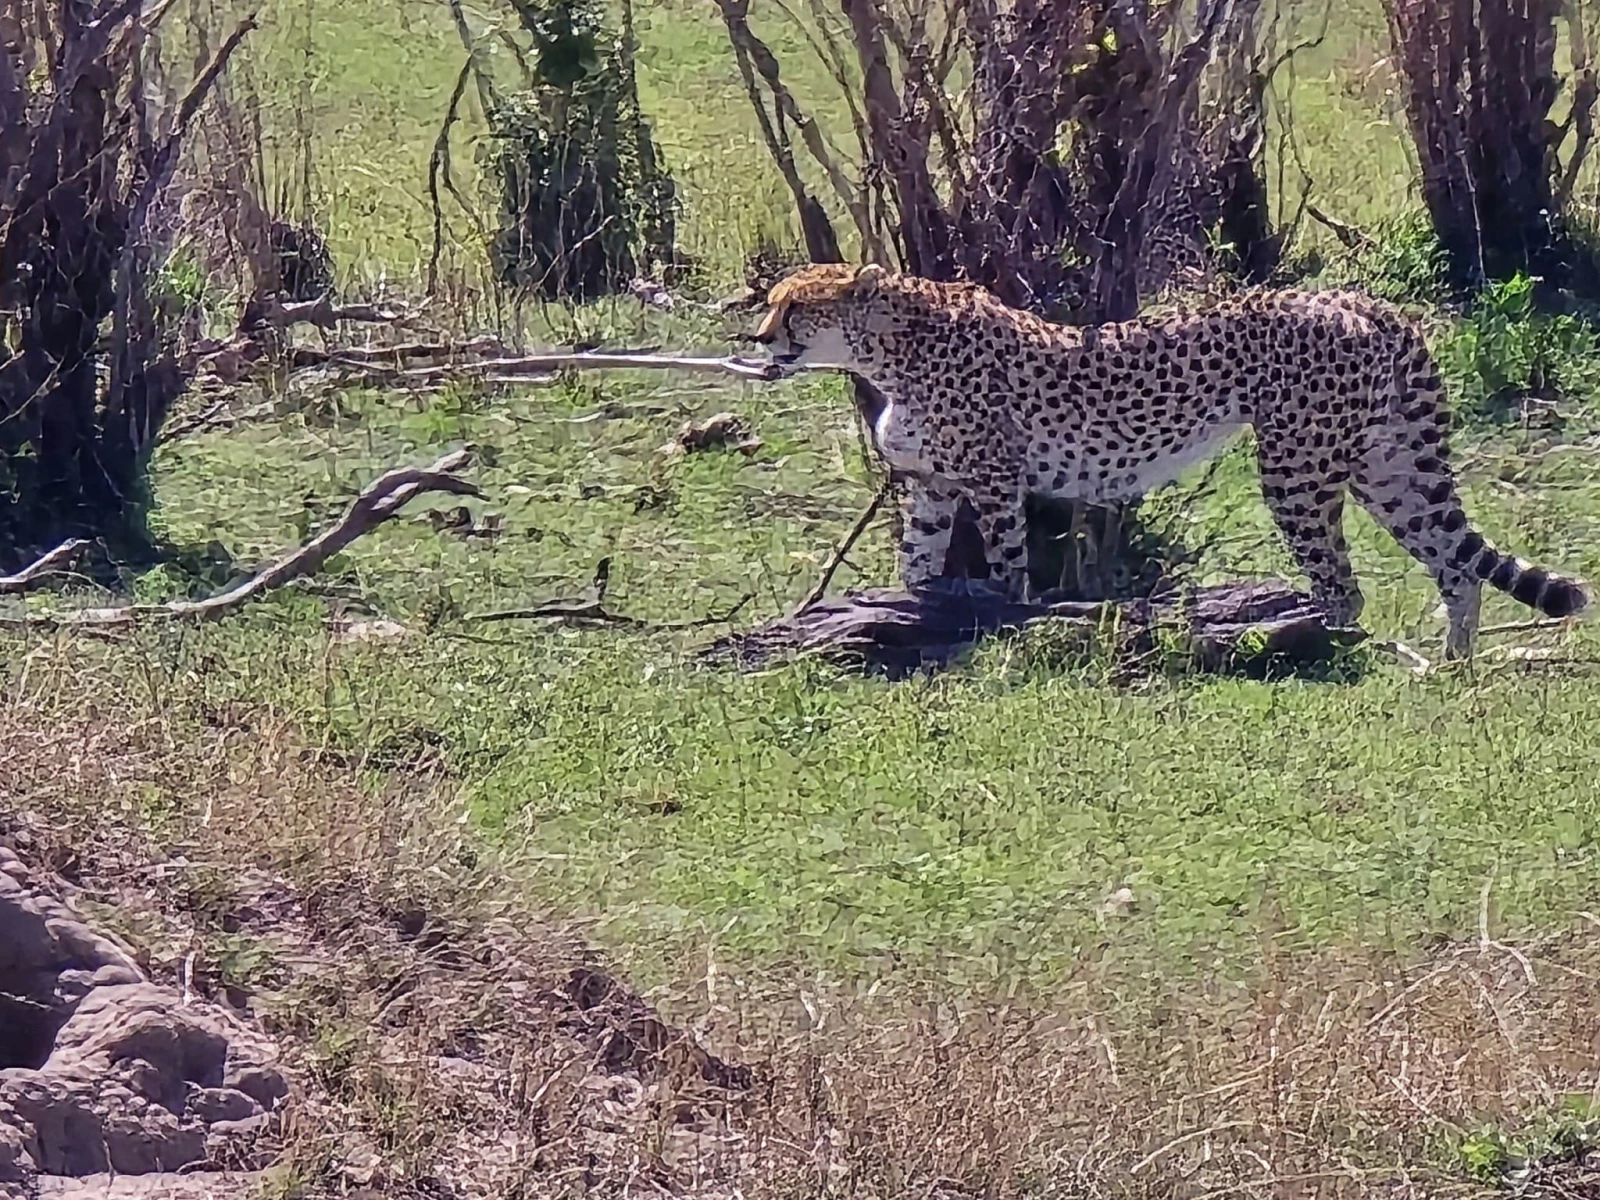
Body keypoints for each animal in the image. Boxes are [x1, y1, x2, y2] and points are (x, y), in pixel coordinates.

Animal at [751, 262, 1589, 660]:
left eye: (795, 306)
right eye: (773, 302)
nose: (758, 338)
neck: (892, 348)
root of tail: (1361, 300)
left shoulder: (994, 481)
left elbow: (1011, 574)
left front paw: (1001, 629)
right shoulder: (928, 485)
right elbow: (919, 567)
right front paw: (909, 617)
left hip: (1297, 469)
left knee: (1344, 587)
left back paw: (1307, 642)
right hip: (1386, 466)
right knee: (1454, 566)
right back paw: (1453, 668)